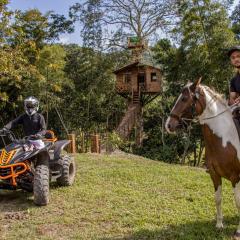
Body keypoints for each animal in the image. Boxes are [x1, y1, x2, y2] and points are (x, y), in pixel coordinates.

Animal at [166, 78, 240, 239]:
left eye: (184, 98)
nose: (168, 125)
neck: (224, 139)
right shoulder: (214, 174)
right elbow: (218, 198)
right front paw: (219, 225)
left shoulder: (236, 177)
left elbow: (238, 202)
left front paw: (238, 231)